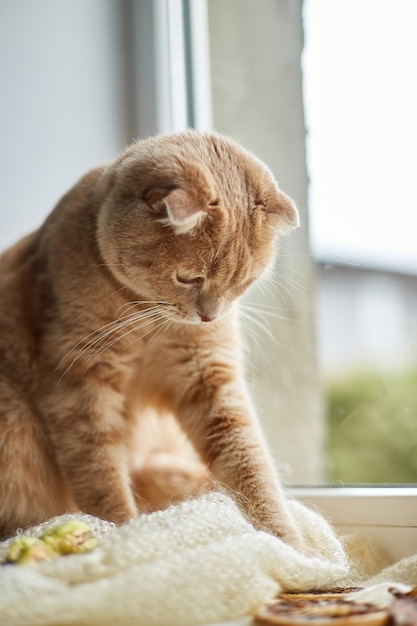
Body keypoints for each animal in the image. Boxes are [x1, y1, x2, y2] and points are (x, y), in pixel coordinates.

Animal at [0, 130, 302, 544]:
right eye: (189, 278)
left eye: (242, 282)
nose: (209, 316)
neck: (147, 318)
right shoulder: (79, 384)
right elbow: (99, 472)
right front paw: (122, 533)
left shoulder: (208, 374)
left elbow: (250, 464)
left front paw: (289, 544)